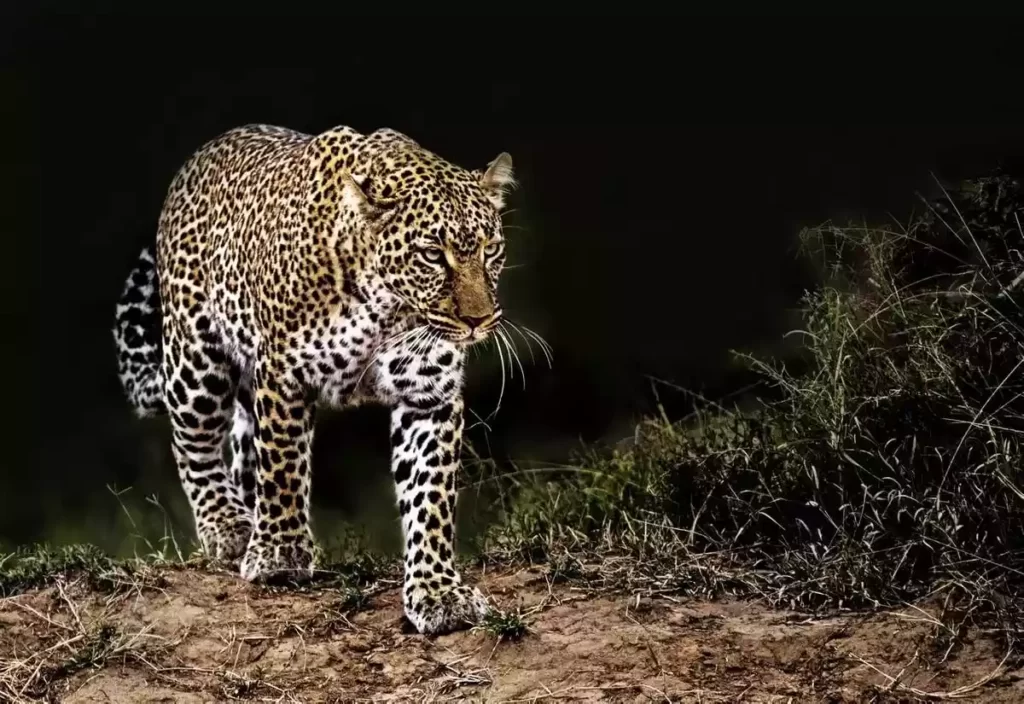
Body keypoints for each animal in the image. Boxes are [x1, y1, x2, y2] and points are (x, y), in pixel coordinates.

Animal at [112, 123, 518, 635]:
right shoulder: (283, 372)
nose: (478, 321)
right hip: (196, 359)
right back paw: (229, 525)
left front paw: (438, 592)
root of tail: (200, 156)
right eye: (431, 255)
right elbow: (284, 465)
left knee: (243, 452)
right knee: (194, 444)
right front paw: (279, 556)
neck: (386, 306)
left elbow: (430, 496)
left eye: (491, 249)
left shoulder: (429, 391)